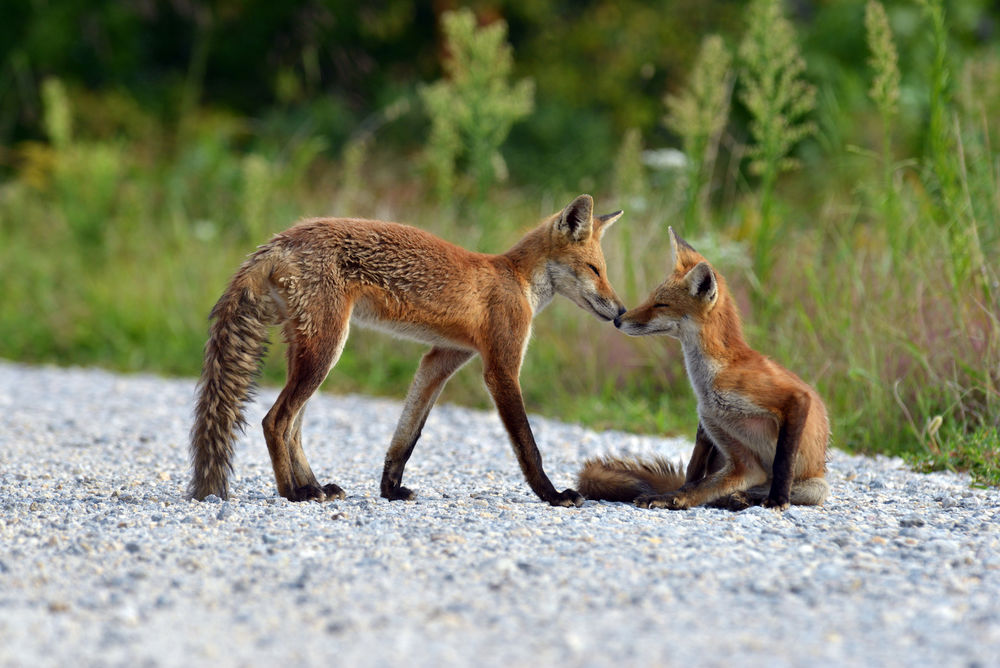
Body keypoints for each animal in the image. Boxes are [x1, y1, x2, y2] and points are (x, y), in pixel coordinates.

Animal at [189, 196, 624, 508]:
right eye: (594, 269)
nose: (620, 312)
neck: (515, 278)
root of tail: (279, 240)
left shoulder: (441, 359)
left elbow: (407, 435)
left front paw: (390, 489)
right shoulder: (501, 367)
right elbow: (527, 445)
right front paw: (552, 495)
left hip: (310, 352)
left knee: (293, 427)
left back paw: (313, 484)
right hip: (325, 350)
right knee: (274, 421)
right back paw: (294, 493)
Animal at [580, 227, 828, 508]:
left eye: (661, 304)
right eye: (651, 299)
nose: (618, 320)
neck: (713, 373)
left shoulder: (795, 398)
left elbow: (783, 461)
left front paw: (777, 500)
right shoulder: (706, 425)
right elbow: (694, 471)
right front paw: (677, 494)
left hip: (814, 485)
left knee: (755, 480)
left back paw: (742, 498)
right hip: (712, 417)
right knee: (737, 476)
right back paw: (703, 497)